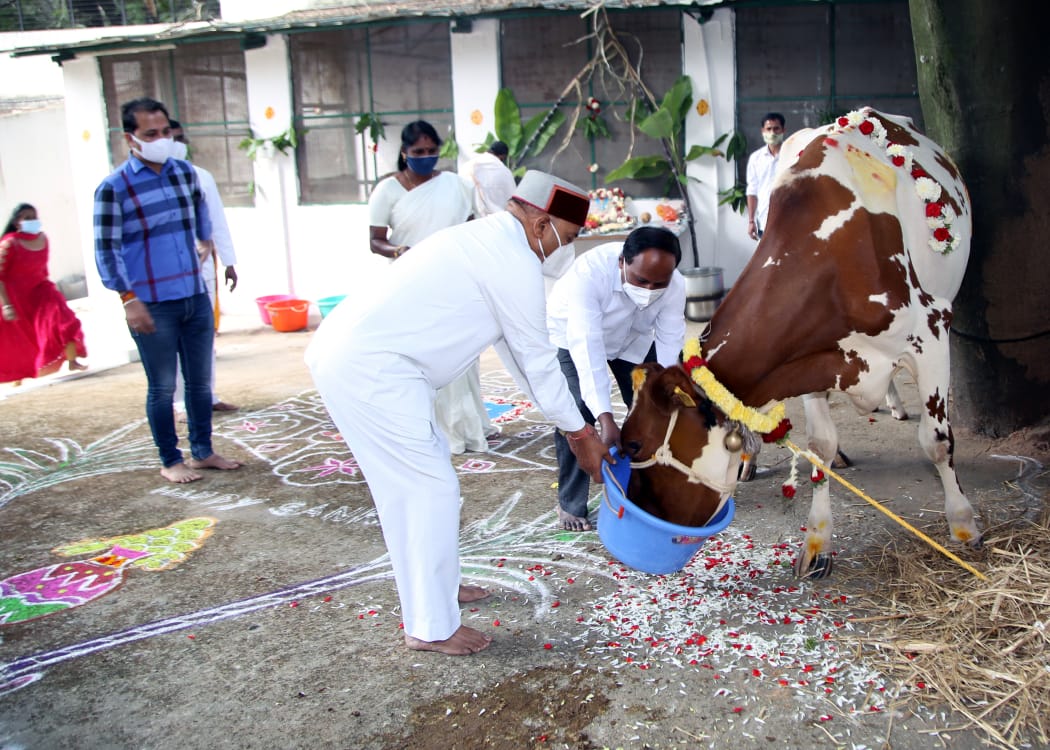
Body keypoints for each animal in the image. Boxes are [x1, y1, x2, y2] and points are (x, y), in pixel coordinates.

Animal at [617, 108, 978, 579]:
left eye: (634, 445)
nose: (635, 515)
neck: (834, 254)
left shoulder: (932, 332)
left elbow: (937, 440)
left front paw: (963, 525)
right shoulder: (811, 361)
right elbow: (819, 447)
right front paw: (817, 541)